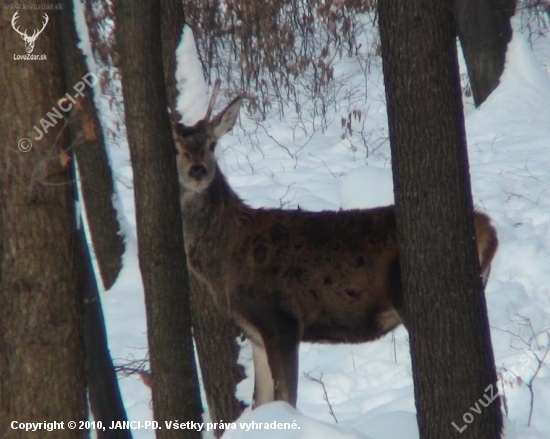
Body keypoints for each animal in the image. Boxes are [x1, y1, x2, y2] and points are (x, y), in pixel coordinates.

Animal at [172, 96, 500, 410]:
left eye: (212, 145)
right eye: (176, 148)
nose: (198, 170)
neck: (226, 261)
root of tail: (488, 227)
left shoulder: (283, 320)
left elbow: (286, 399)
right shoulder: (255, 332)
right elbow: (261, 402)